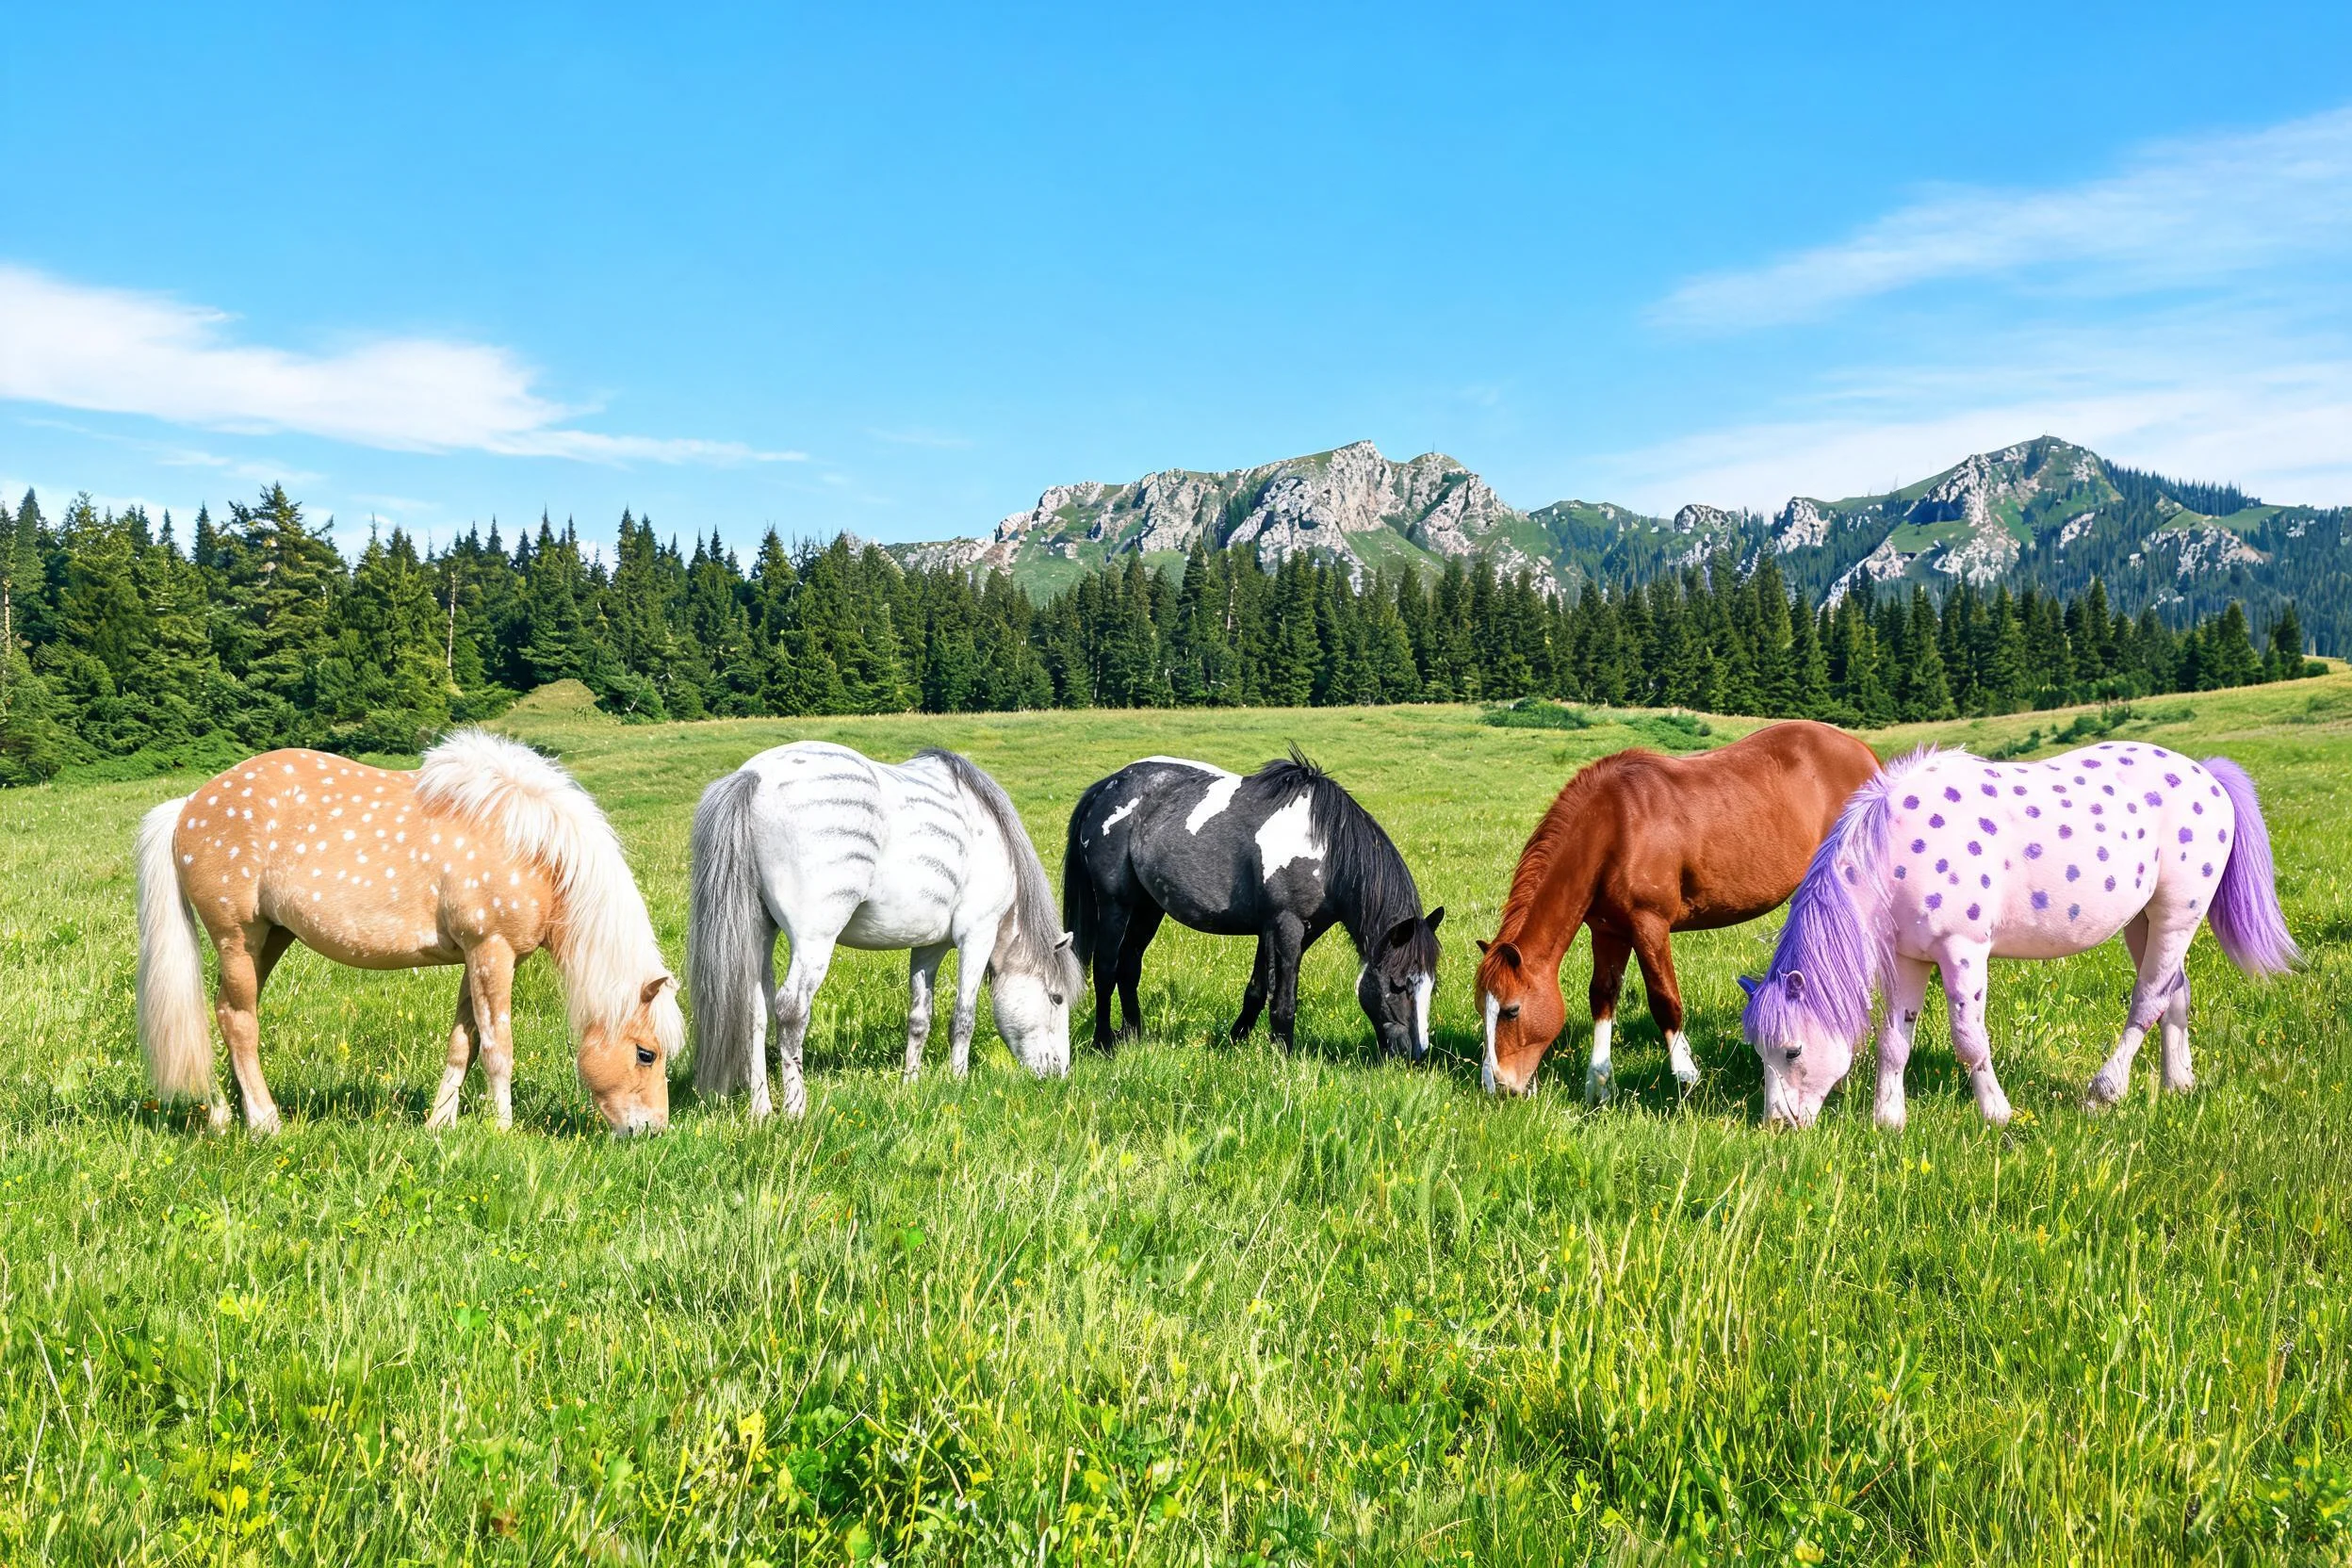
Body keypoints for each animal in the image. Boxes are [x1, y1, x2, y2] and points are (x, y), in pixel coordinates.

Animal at [134, 731, 682, 1136]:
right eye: (646, 1053)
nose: (652, 1130)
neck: (536, 851)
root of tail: (188, 805)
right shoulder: (493, 952)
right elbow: (498, 1047)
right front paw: (502, 1130)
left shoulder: (475, 959)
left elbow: (464, 1042)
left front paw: (441, 1125)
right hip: (237, 937)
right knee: (239, 1022)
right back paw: (265, 1121)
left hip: (269, 938)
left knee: (229, 1012)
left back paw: (231, 1114)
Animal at [687, 743, 1079, 1119]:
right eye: (1057, 998)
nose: (1061, 1073)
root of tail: (756, 777)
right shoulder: (977, 936)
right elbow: (963, 1017)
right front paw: (959, 1080)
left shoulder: (928, 948)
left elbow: (920, 1018)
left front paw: (911, 1082)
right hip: (814, 940)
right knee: (791, 1010)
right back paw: (796, 1108)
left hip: (759, 932)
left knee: (756, 1012)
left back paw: (761, 1109)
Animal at [1062, 751, 1443, 1058]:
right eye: (1397, 984)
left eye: (1431, 985)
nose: (1414, 1055)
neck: (1327, 847)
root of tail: (1107, 787)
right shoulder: (1287, 926)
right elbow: (1284, 999)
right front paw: (1284, 1057)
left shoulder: (1286, 929)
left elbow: (1257, 990)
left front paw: (1235, 1043)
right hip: (1115, 904)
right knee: (1106, 968)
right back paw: (1103, 1043)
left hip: (1148, 908)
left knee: (1129, 966)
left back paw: (1134, 1036)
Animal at [1473, 719, 1880, 1101]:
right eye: (1482, 1009)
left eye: (1511, 1010)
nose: (1498, 1086)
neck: (1615, 826)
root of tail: (1865, 754)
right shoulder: (1608, 930)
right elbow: (1602, 996)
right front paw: (1599, 1084)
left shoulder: (1649, 924)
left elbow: (1664, 1000)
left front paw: (1687, 1078)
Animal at [1740, 742, 2298, 1129]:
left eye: (1792, 1051)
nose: (1776, 1126)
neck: (1893, 849)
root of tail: (2209, 776)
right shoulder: (1908, 960)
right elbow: (1894, 1041)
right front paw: (1889, 1121)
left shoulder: (1963, 952)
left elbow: (1969, 1040)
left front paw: (1996, 1113)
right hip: (2144, 921)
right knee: (2174, 994)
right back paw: (2178, 1084)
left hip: (2177, 916)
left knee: (2148, 1001)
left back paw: (2106, 1091)